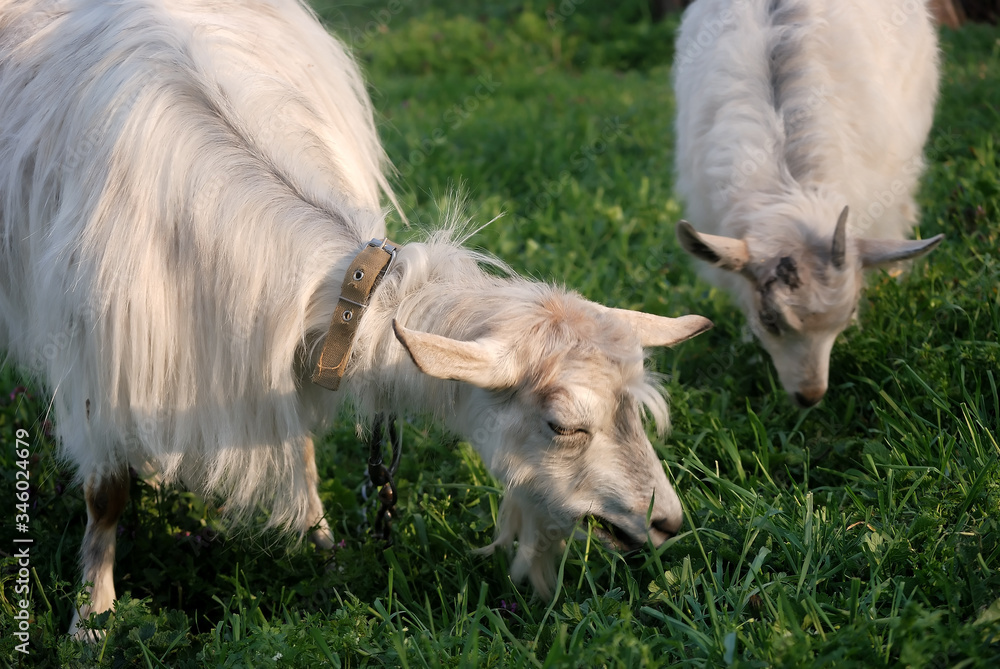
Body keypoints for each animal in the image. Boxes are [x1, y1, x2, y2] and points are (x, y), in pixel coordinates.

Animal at [0, 0, 712, 636]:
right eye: (562, 424)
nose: (667, 522)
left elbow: (300, 447)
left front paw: (324, 546)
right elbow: (106, 496)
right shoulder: (96, 370)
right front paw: (91, 620)